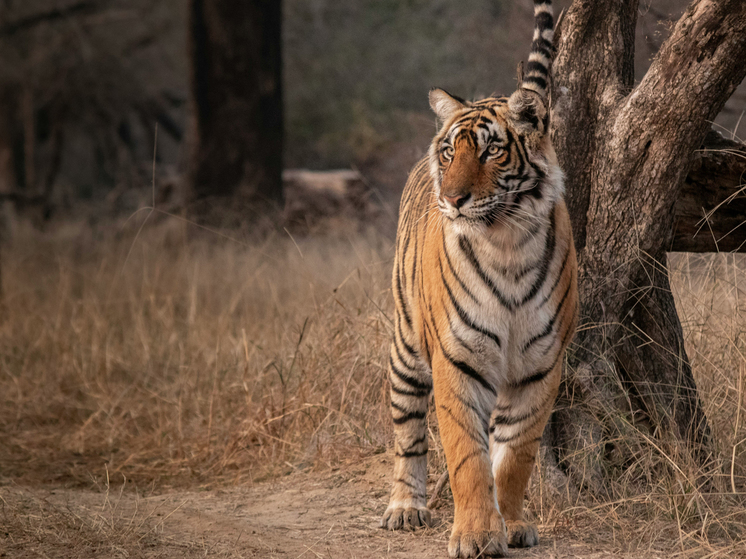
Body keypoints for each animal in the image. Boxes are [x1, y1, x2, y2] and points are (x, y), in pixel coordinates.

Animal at [378, 2, 576, 556]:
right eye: (450, 151)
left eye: (491, 151)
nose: (452, 198)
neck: (506, 242)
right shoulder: (457, 359)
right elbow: (466, 455)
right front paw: (474, 535)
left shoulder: (539, 366)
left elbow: (514, 457)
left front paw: (511, 524)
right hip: (406, 345)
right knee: (408, 434)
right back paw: (405, 508)